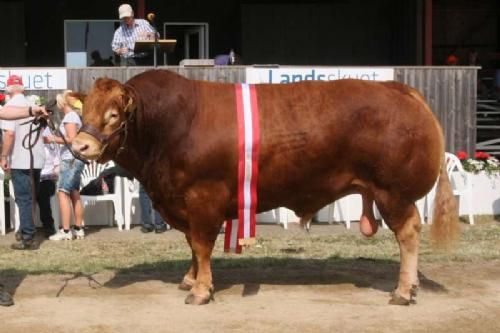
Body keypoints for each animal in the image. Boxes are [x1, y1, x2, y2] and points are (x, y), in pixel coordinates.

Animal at [72, 69, 458, 304]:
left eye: (113, 116)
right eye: (84, 112)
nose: (79, 146)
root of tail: (398, 88)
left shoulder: (203, 197)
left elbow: (202, 244)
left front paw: (201, 290)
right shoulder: (183, 201)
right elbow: (192, 245)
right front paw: (190, 278)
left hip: (394, 193)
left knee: (408, 233)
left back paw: (403, 290)